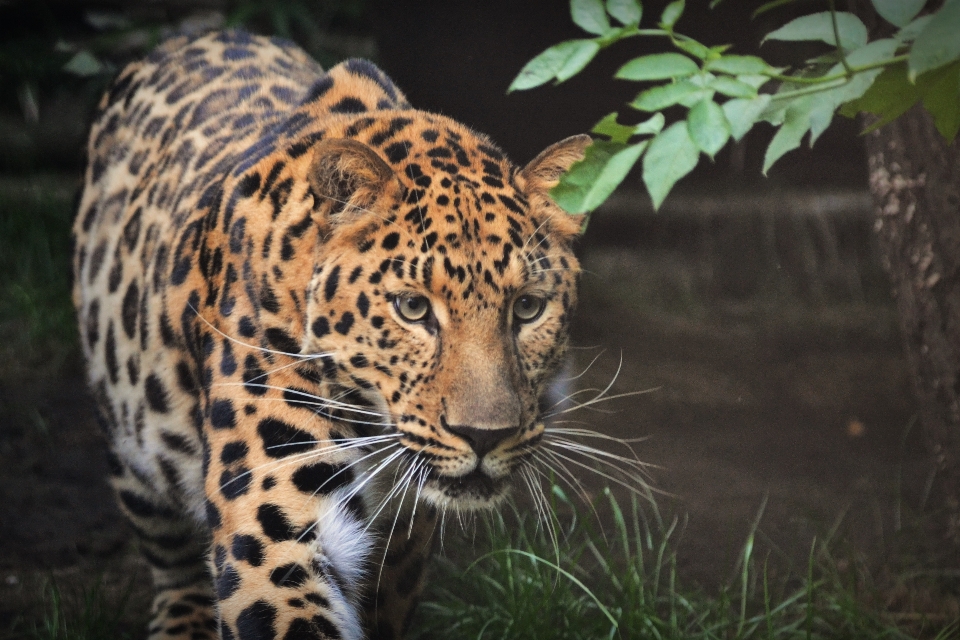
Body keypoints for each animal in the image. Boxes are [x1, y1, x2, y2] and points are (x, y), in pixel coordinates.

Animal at [71, 30, 588, 640]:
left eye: (527, 308)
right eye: (413, 308)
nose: (484, 437)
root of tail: (200, 33)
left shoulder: (403, 544)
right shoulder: (278, 539)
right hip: (130, 444)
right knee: (171, 557)